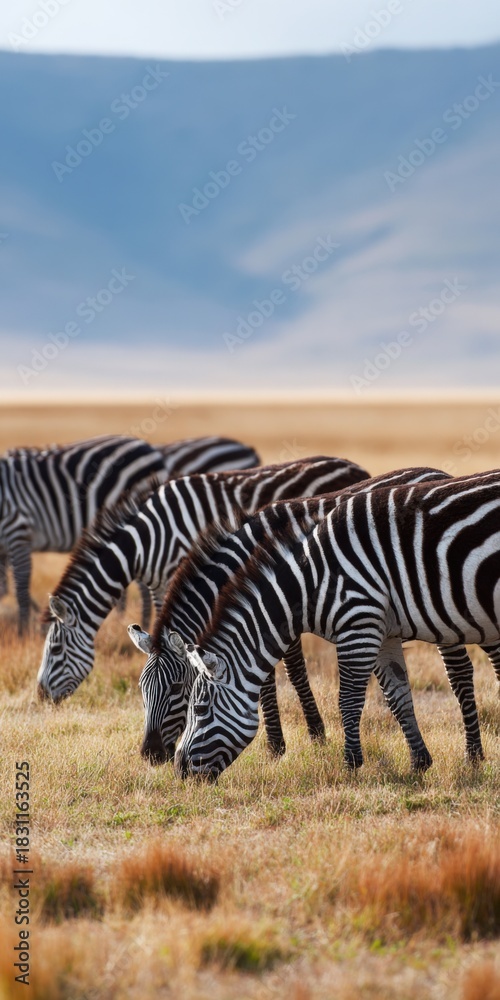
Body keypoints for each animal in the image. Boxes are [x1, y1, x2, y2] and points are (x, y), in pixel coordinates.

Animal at [37, 455, 370, 756]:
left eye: (55, 649)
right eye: (141, 689)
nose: (40, 698)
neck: (148, 541)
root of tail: (353, 465)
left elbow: (282, 667)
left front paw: (295, 739)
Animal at [129, 466, 500, 773]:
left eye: (178, 689)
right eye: (142, 690)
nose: (151, 755)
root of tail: (437, 472)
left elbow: (288, 677)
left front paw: (291, 743)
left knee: (462, 672)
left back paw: (474, 755)